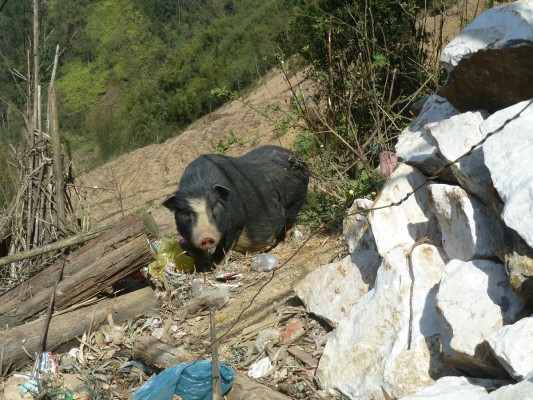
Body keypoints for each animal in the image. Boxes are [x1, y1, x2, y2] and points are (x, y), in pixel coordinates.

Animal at [164, 145, 310, 272]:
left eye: (213, 208)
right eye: (187, 213)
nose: (206, 238)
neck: (198, 185)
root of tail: (297, 157)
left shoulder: (235, 225)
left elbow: (221, 251)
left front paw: (213, 268)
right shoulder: (188, 235)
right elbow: (196, 254)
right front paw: (199, 270)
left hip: (296, 199)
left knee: (290, 221)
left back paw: (287, 240)